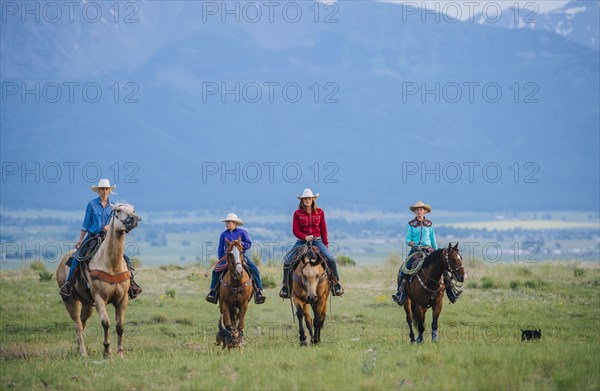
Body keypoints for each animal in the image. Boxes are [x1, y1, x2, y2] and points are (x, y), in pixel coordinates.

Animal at [55, 205, 141, 358]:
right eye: (118, 210)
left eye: (133, 210)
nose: (133, 219)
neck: (112, 264)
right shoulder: (99, 298)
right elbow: (106, 323)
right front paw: (106, 351)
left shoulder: (122, 299)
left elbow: (120, 326)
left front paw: (120, 353)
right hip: (70, 300)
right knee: (77, 324)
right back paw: (83, 353)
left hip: (87, 304)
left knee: (82, 322)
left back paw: (78, 349)